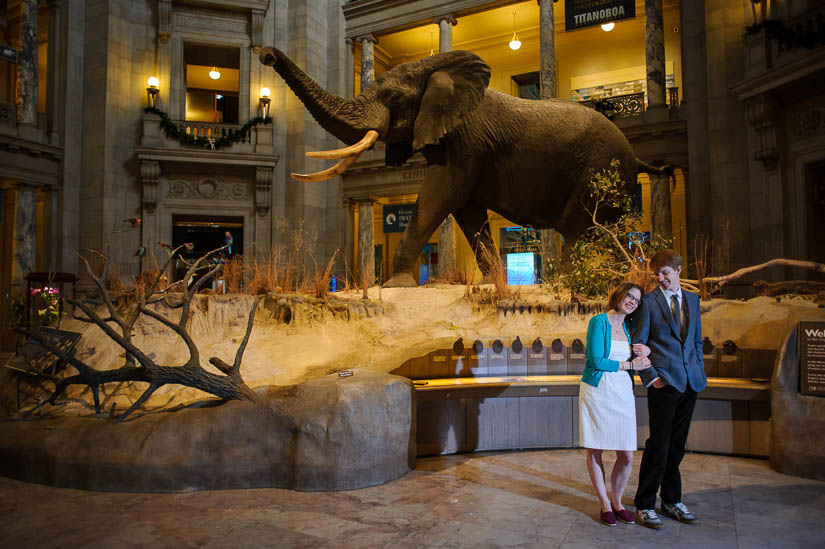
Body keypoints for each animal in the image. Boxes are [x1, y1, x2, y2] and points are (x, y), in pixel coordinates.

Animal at [260, 48, 664, 286]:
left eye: (392, 97)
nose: (266, 54)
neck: (435, 70)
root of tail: (635, 154)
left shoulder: (466, 142)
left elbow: (440, 195)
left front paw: (395, 286)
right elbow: (468, 212)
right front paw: (491, 286)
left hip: (598, 171)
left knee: (579, 229)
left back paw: (567, 285)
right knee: (605, 232)